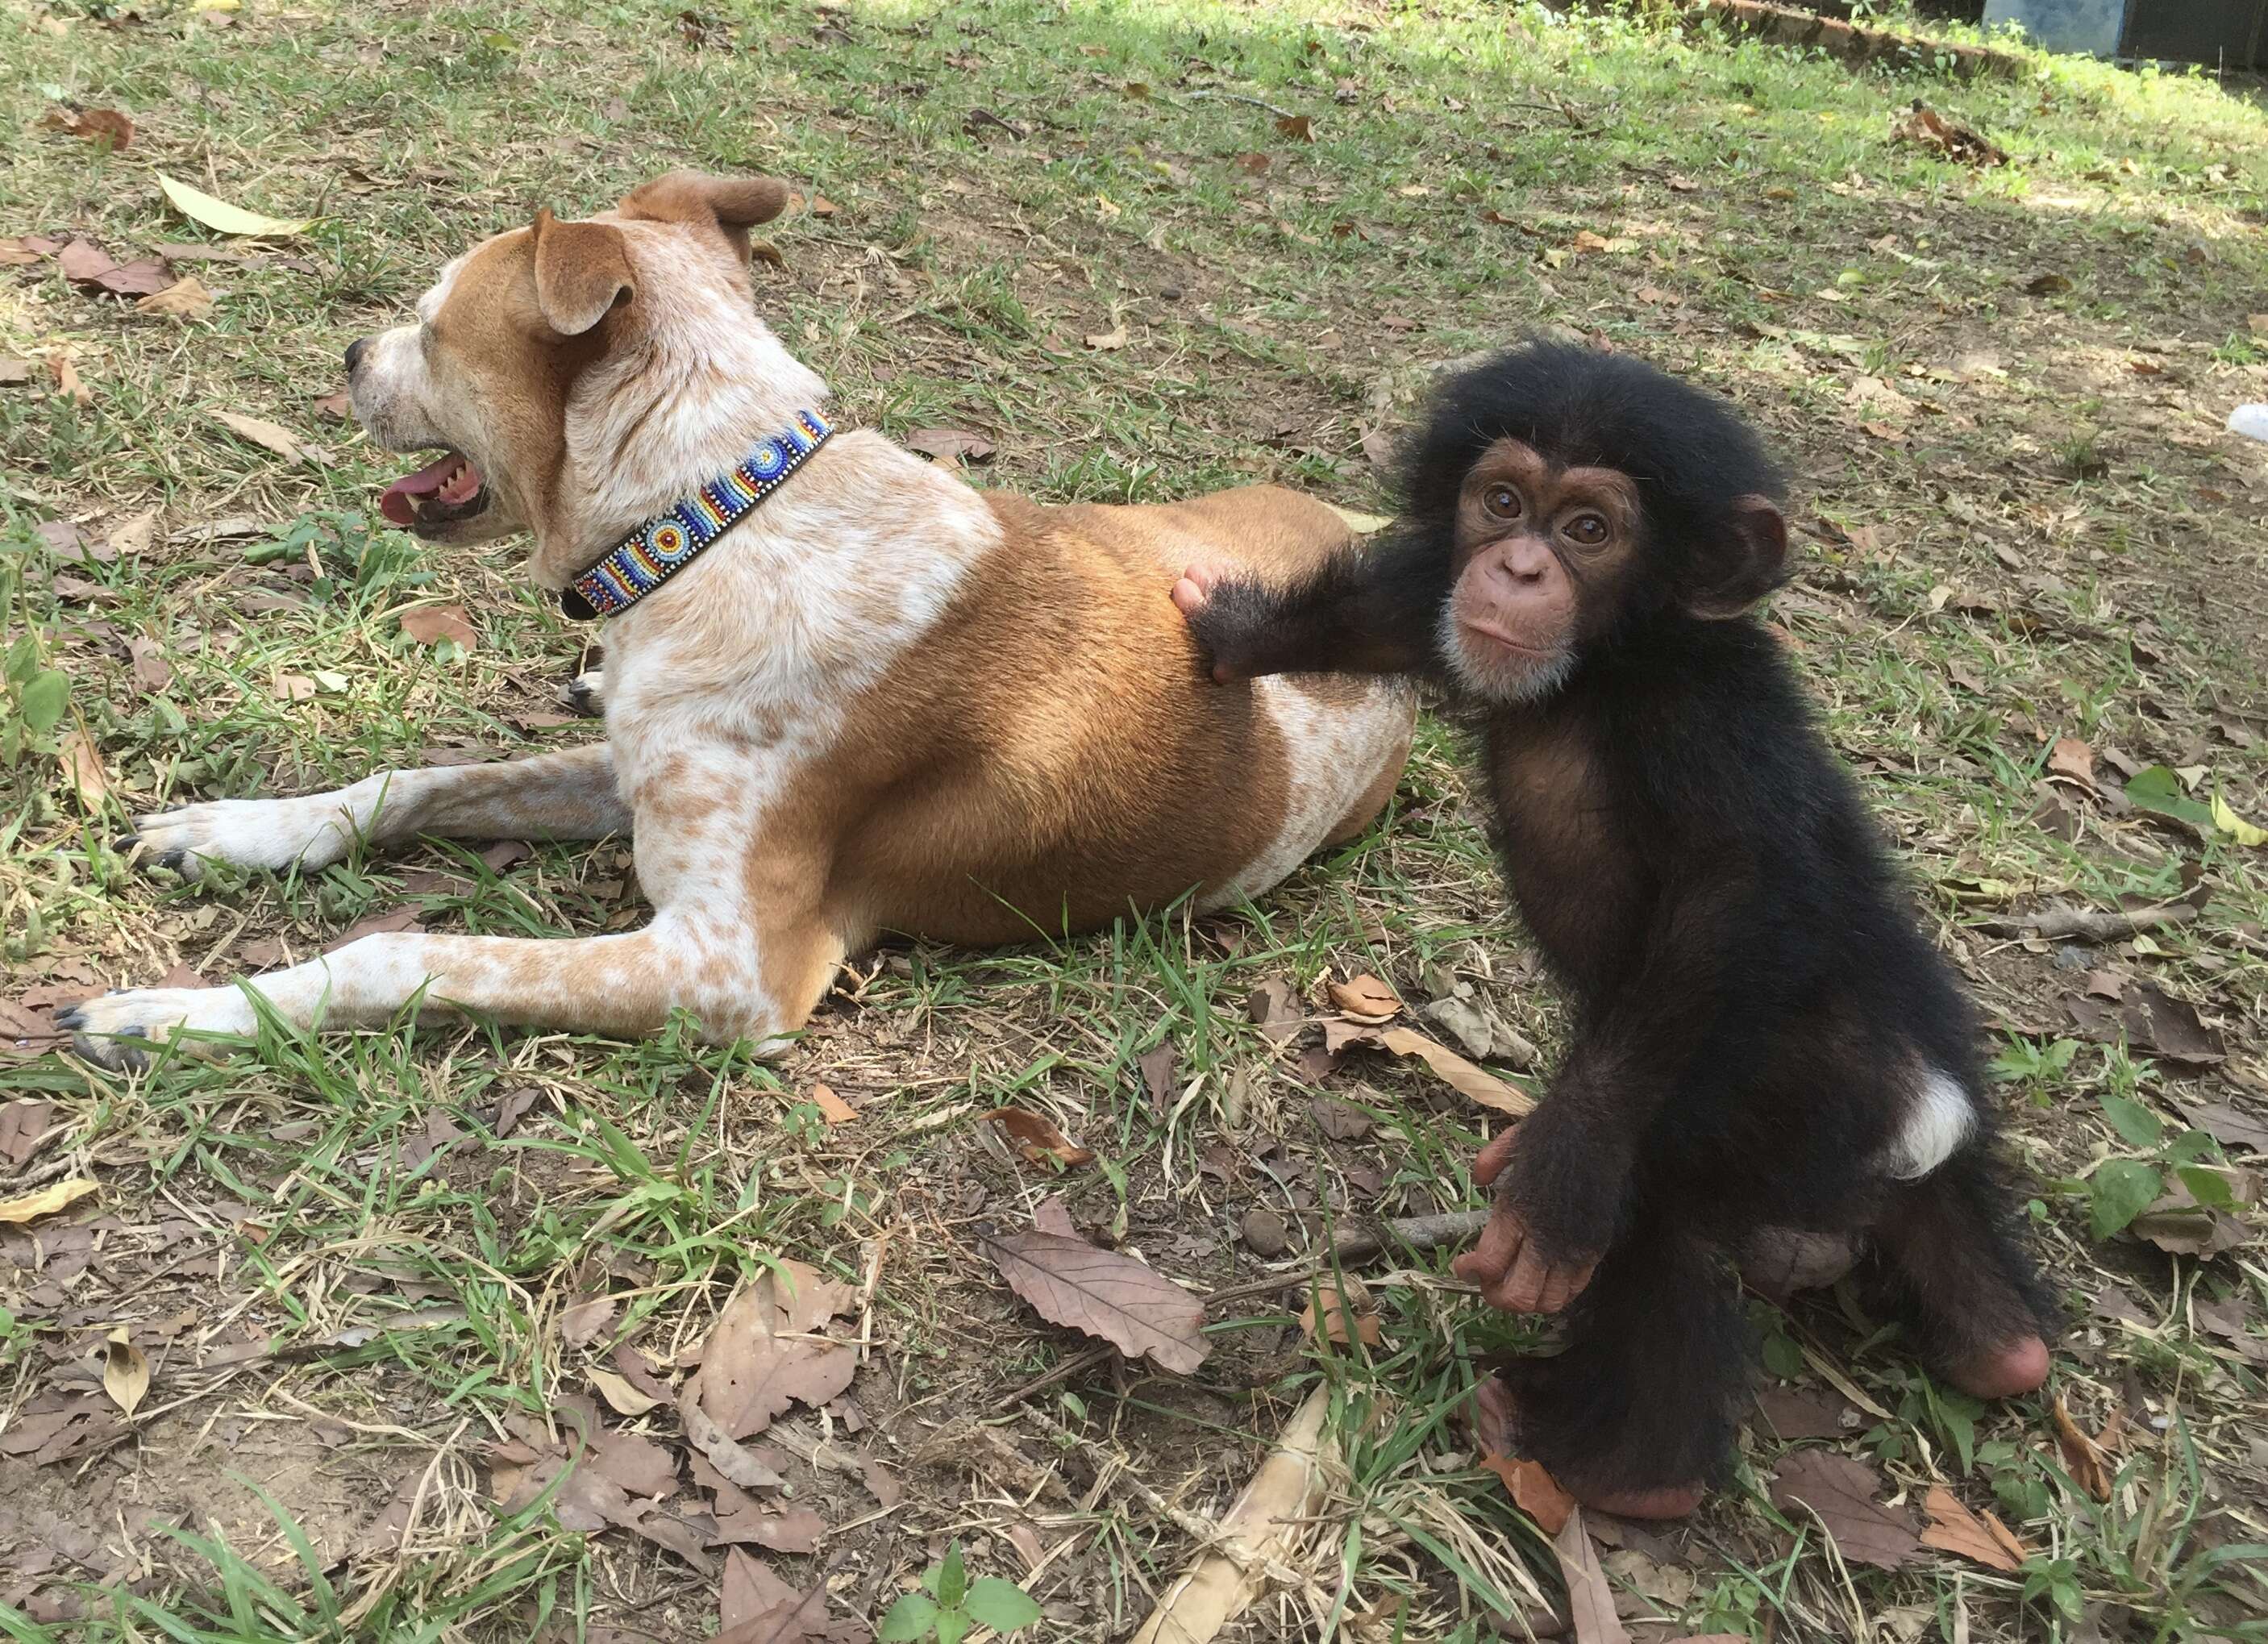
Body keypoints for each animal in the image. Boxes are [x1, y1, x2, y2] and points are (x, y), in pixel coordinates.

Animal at [66, 169, 1415, 1065]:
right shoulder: (637, 767)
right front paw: (238, 830)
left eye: (435, 327)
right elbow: (410, 782)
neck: (718, 515)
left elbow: (402, 952)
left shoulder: (734, 966)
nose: (349, 353)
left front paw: (178, 1008)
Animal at [1179, 342, 2050, 1514]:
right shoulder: (1448, 615)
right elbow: (1389, 613)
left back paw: (1619, 1458)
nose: (1519, 569)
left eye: (1589, 527)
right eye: (1503, 502)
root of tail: (1926, 1104)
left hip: (1778, 1095)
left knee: (1659, 1222)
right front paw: (1234, 628)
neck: (1606, 666)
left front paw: (1562, 1174)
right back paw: (1996, 1338)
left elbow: (1726, 892)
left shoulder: (1707, 723)